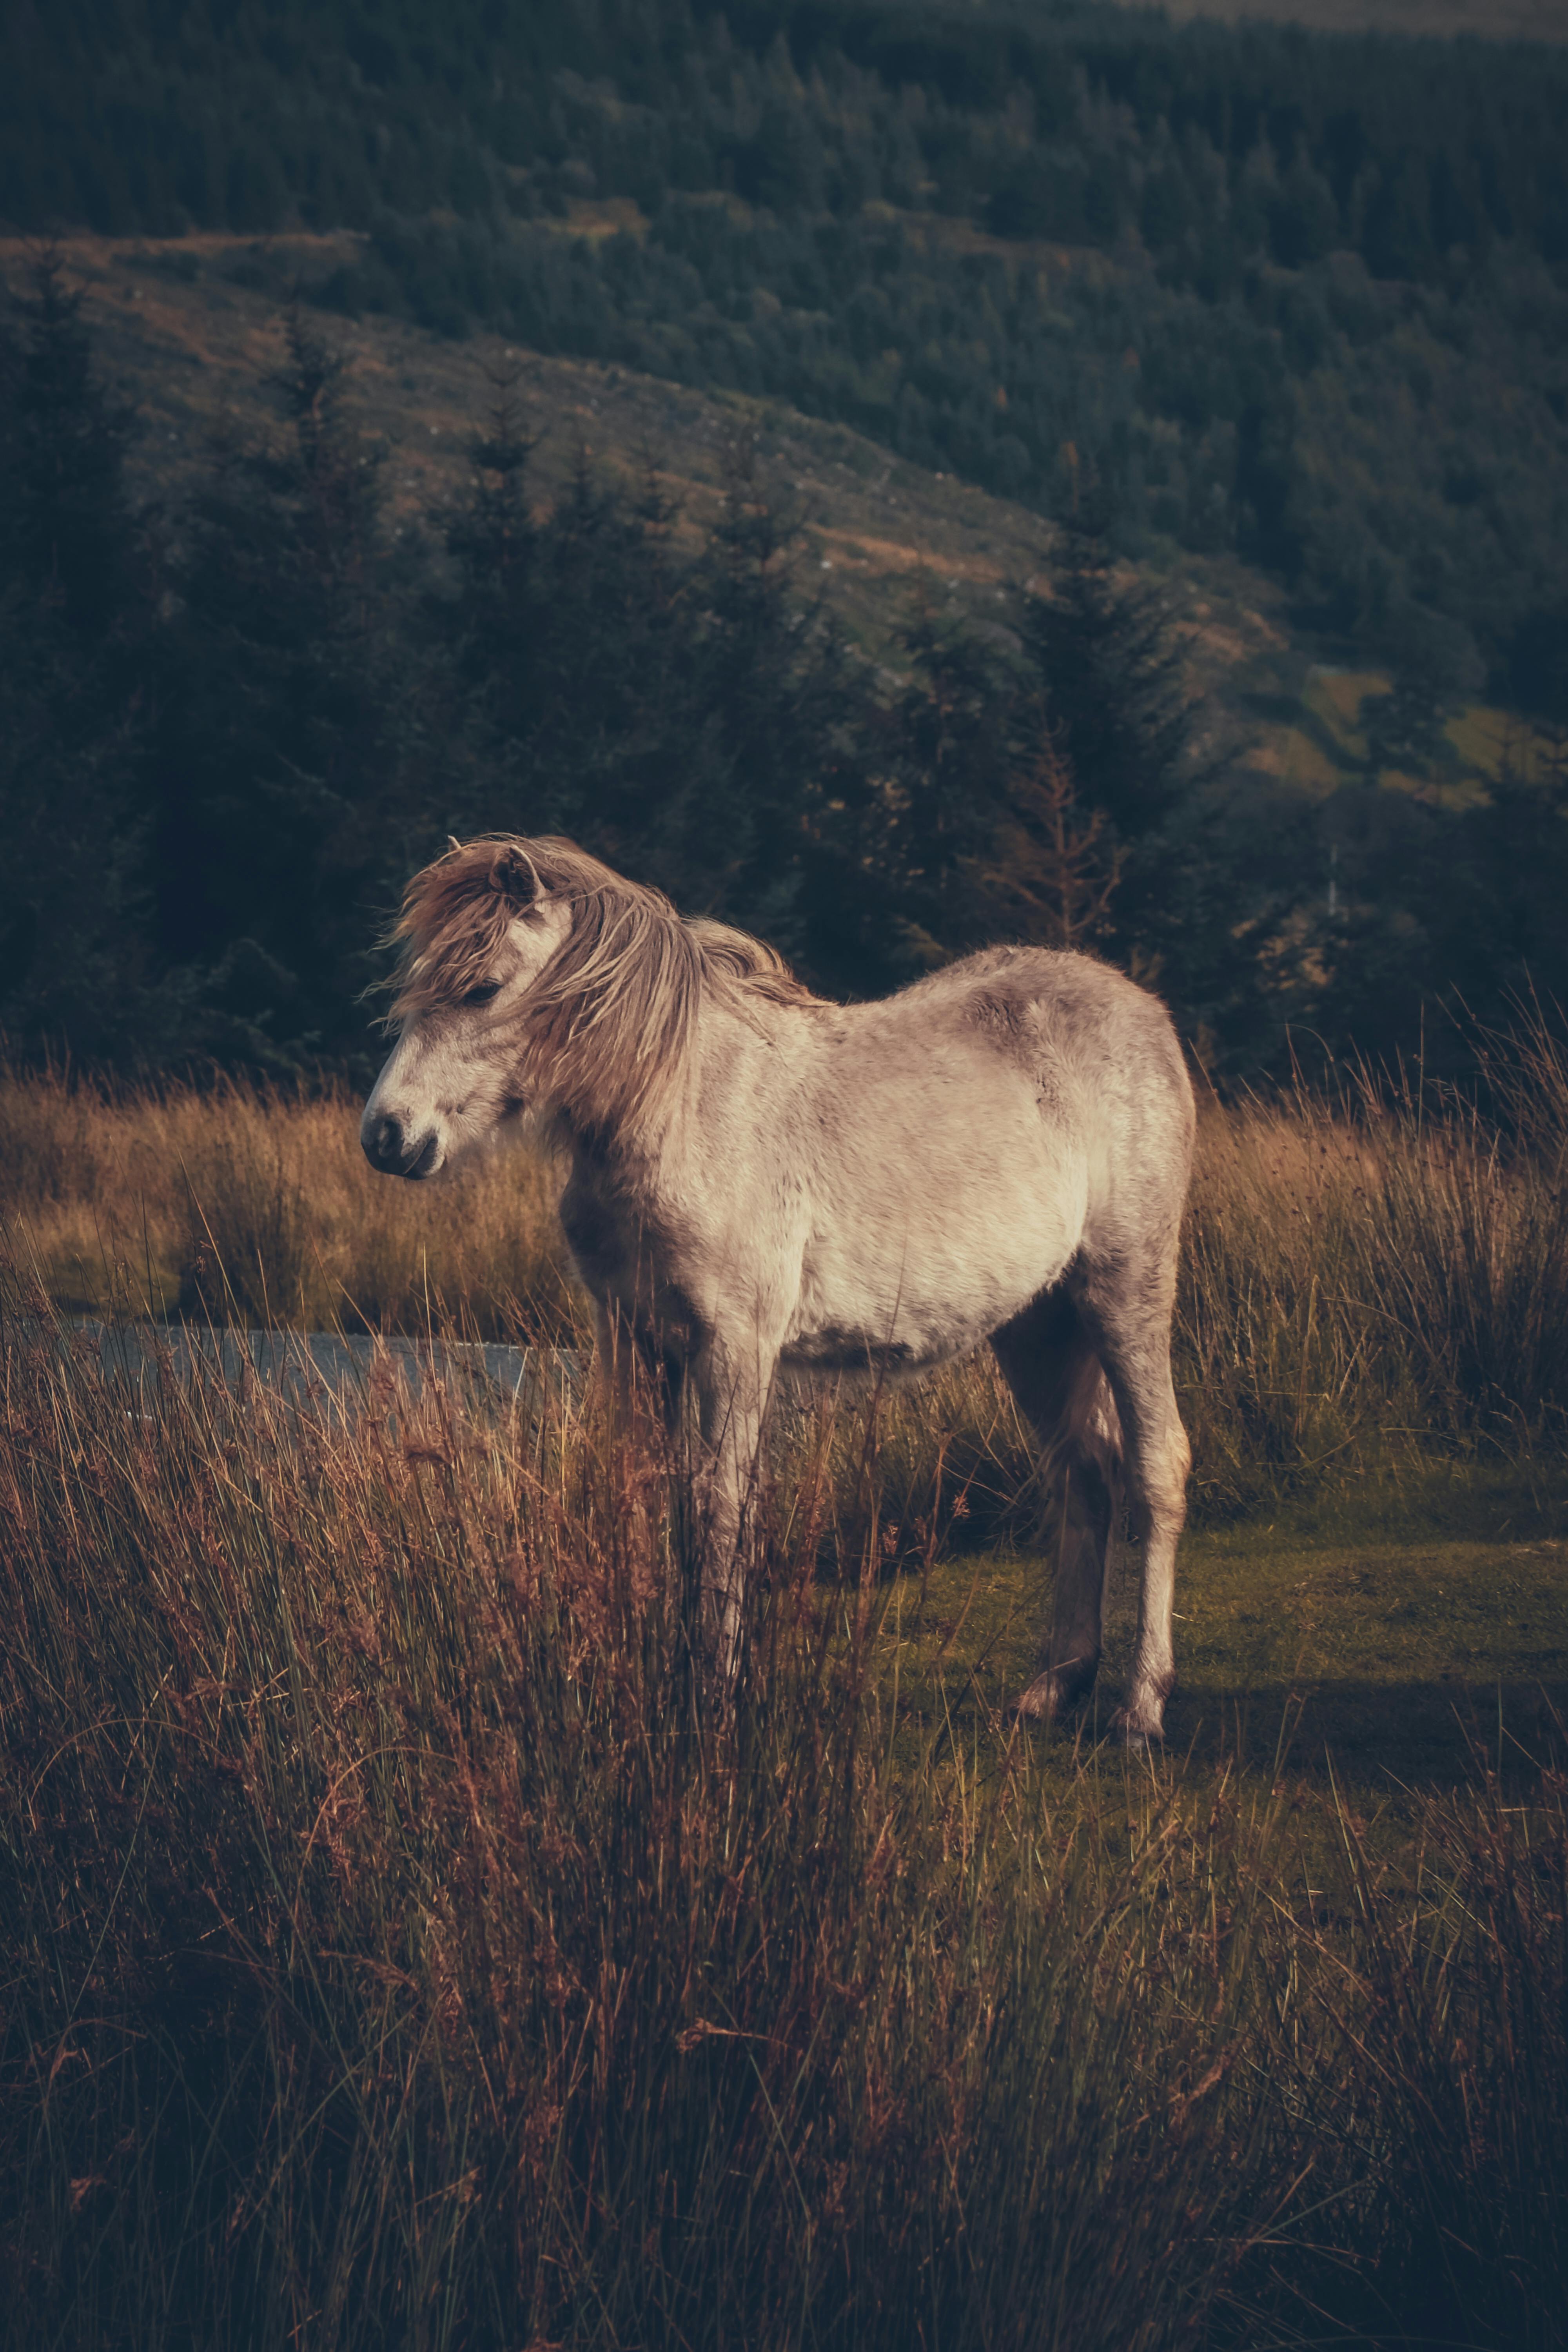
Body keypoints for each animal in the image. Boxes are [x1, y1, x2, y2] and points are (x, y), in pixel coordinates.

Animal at [362, 837, 1194, 1740]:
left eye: (482, 987)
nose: (387, 1135)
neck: (680, 1110)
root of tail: (1143, 1012)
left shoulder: (735, 1345)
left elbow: (721, 1510)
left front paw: (713, 1703)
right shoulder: (633, 1338)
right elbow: (636, 1497)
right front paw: (641, 1690)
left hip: (1124, 1290)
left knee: (1155, 1464)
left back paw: (1141, 1706)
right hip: (1037, 1326)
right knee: (1082, 1473)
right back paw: (1054, 1685)